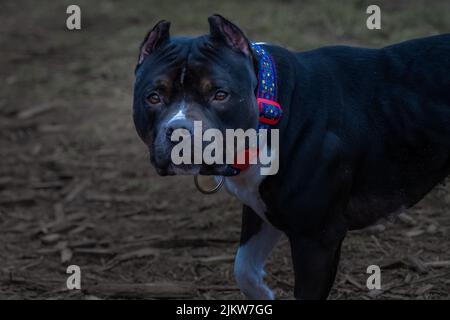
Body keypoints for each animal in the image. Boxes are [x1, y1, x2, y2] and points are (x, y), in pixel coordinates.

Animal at [133, 14, 450, 300]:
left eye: (220, 94)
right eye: (153, 97)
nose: (180, 131)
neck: (270, 107)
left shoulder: (317, 237)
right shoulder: (262, 208)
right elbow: (244, 269)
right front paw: (264, 294)